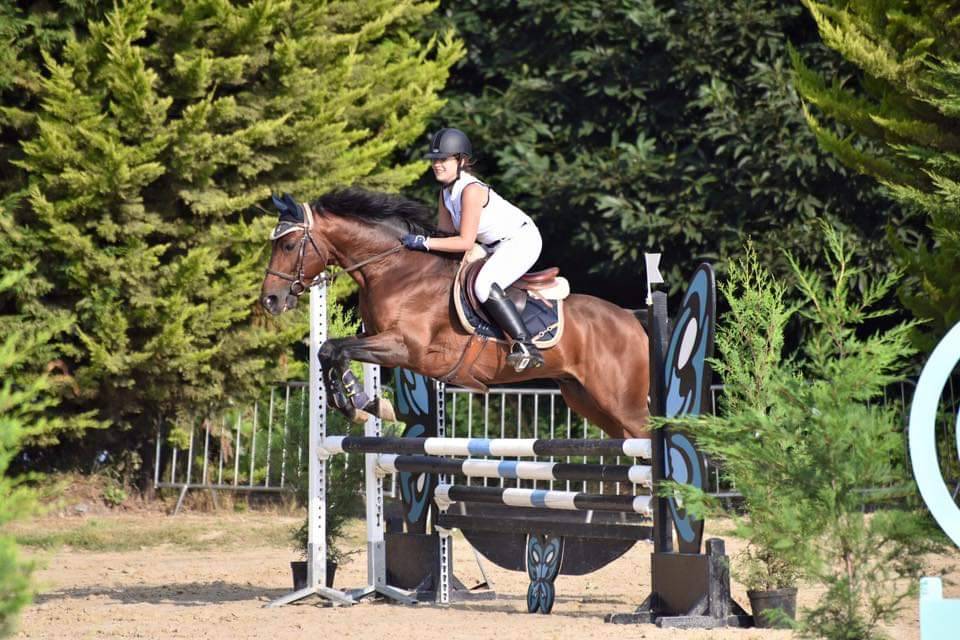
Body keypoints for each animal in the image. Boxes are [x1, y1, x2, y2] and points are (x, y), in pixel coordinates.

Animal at [259, 188, 650, 439]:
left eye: (289, 245)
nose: (270, 300)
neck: (395, 271)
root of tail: (632, 320)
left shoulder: (406, 348)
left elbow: (335, 349)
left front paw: (360, 405)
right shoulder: (376, 338)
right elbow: (329, 350)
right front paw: (363, 405)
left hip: (623, 404)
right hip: (585, 398)